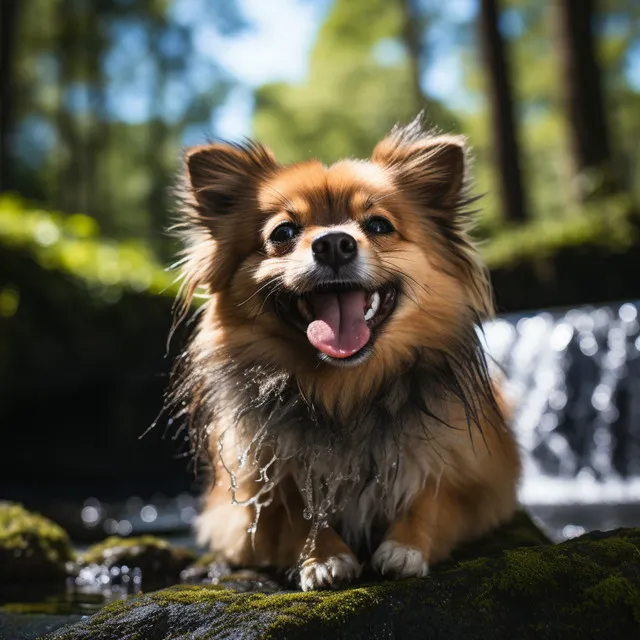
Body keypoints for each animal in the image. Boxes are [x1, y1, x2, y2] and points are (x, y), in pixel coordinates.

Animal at [170, 119, 520, 592]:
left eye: (378, 225)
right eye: (283, 233)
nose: (334, 243)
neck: (345, 392)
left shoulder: (476, 481)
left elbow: (432, 497)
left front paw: (404, 547)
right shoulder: (246, 501)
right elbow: (295, 509)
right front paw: (324, 555)